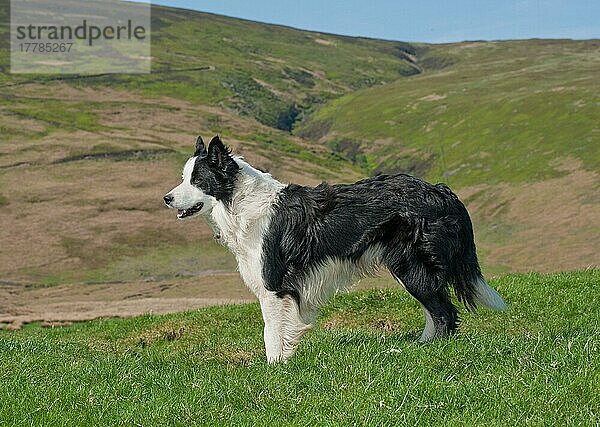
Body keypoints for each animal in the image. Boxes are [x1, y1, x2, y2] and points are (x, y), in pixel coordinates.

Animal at [164, 135, 506, 362]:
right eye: (183, 178)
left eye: (197, 180)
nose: (166, 198)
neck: (238, 202)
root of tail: (441, 190)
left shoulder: (273, 286)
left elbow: (271, 333)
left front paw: (274, 369)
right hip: (409, 269)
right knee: (435, 312)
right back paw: (416, 346)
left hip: (411, 267)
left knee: (445, 313)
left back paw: (427, 353)